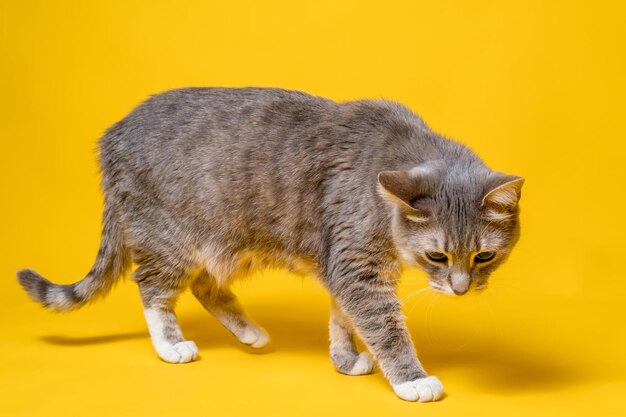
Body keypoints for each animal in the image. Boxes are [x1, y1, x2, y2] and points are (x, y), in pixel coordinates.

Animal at [17, 86, 520, 402]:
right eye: (437, 255)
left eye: (483, 256)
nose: (460, 289)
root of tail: (112, 136)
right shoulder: (356, 266)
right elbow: (383, 325)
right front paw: (411, 380)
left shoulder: (343, 264)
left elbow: (342, 317)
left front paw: (344, 358)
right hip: (170, 236)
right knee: (153, 288)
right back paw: (171, 345)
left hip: (221, 243)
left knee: (204, 286)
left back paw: (249, 332)